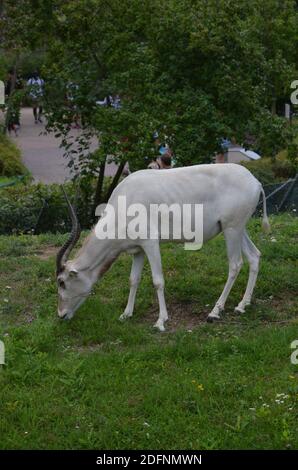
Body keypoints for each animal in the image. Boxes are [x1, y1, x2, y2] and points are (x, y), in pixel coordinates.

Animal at [56, 164, 270, 330]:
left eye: (62, 282)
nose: (61, 315)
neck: (125, 202)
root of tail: (255, 182)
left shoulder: (151, 243)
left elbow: (158, 281)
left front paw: (160, 321)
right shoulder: (138, 250)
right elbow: (133, 279)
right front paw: (126, 314)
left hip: (232, 229)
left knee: (235, 264)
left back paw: (215, 311)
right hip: (236, 229)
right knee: (254, 256)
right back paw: (242, 305)